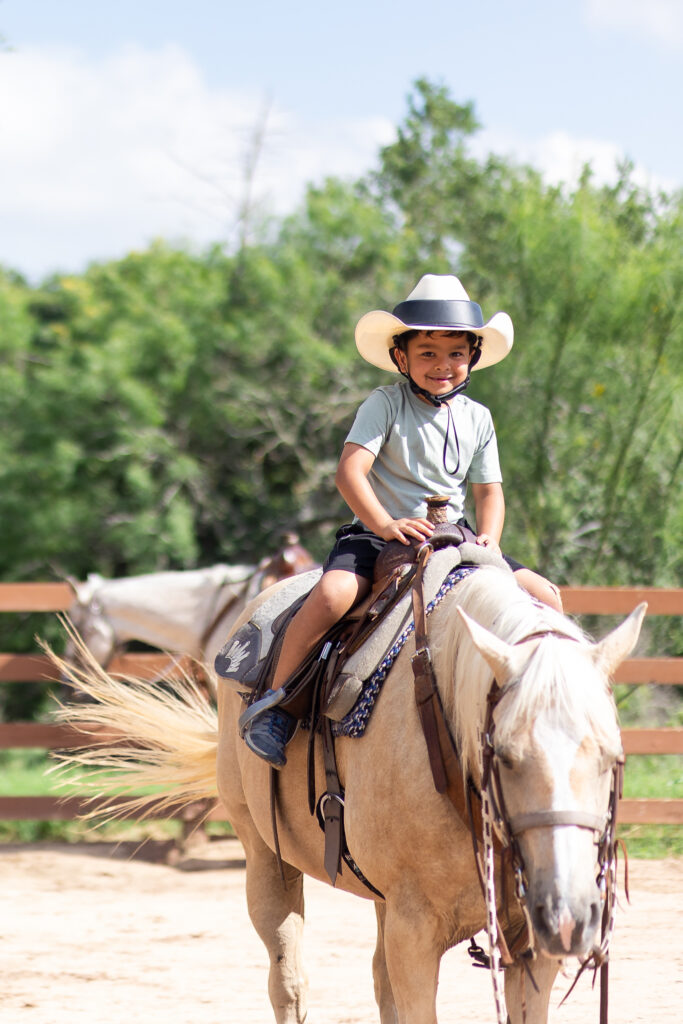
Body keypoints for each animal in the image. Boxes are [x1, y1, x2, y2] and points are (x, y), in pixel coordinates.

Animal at [54, 565, 647, 1019]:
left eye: (612, 758)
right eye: (503, 753)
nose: (567, 911)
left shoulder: (529, 947)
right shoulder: (415, 937)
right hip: (266, 860)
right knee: (288, 984)